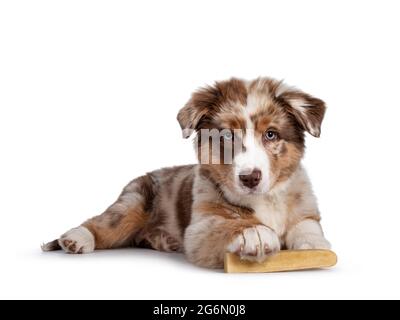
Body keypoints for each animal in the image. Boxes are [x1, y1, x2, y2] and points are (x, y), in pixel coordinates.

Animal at [43, 77, 332, 268]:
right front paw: (253, 233)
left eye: (271, 134)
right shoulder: (200, 227)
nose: (250, 178)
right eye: (227, 136)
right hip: (133, 202)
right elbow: (228, 224)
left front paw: (313, 246)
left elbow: (306, 226)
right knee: (104, 223)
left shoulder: (305, 207)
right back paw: (76, 239)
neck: (265, 199)